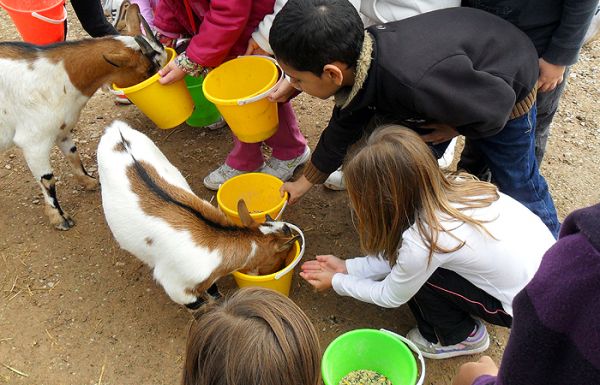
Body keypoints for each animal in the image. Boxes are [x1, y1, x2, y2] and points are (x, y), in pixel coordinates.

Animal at [0, 18, 165, 228]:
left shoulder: (62, 129)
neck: (58, 77)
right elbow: (48, 180)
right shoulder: (33, 142)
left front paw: (90, 182)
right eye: (148, 69)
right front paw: (60, 218)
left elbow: (73, 154)